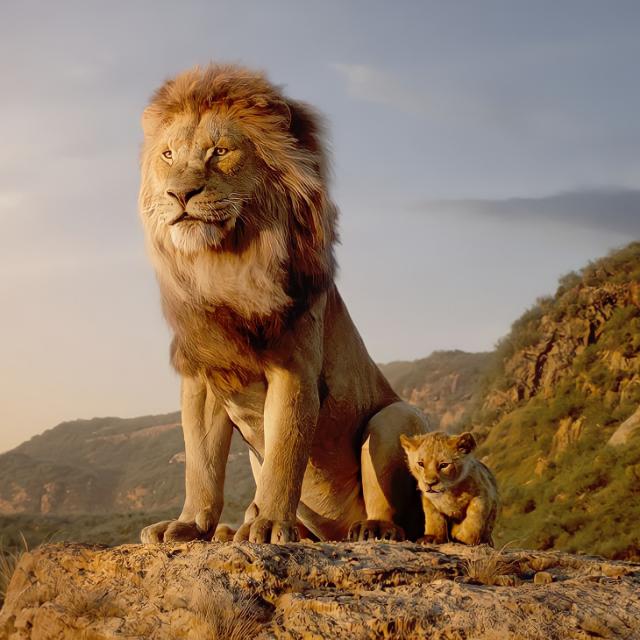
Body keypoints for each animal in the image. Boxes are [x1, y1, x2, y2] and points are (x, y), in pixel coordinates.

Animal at [138, 64, 429, 544]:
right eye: (167, 155)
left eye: (220, 152)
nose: (180, 194)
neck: (223, 266)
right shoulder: (203, 377)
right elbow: (201, 464)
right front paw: (189, 525)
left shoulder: (295, 369)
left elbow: (285, 454)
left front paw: (271, 524)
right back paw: (235, 529)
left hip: (394, 418)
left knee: (396, 511)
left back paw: (371, 528)